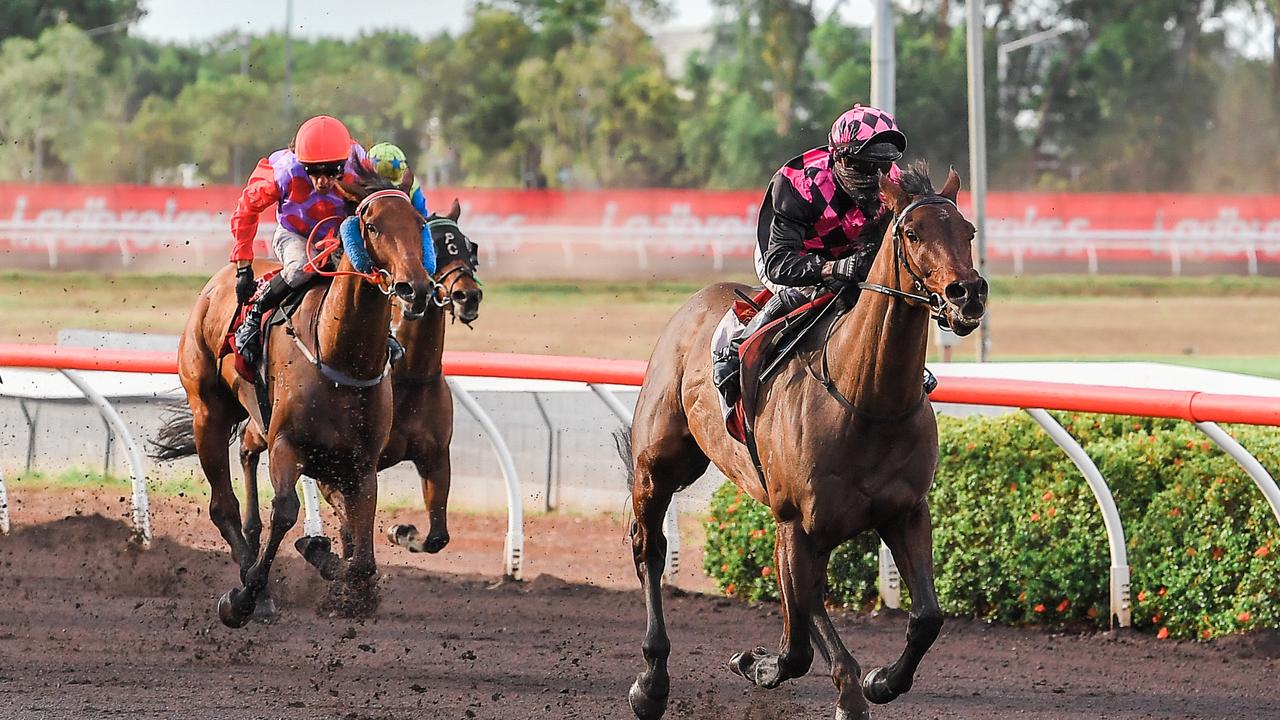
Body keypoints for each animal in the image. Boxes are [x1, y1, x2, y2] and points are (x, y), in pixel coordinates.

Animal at [153, 166, 435, 622]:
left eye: (419, 223)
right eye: (372, 226)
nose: (416, 289)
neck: (342, 356)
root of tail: (213, 285)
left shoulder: (361, 463)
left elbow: (362, 560)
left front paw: (332, 567)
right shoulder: (287, 443)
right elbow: (284, 512)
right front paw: (243, 597)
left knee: (247, 454)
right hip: (207, 413)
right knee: (223, 505)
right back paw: (254, 590)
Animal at [624, 163, 983, 717]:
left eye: (968, 231)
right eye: (911, 232)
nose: (968, 293)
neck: (866, 399)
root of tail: (695, 304)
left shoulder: (904, 511)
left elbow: (925, 618)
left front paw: (881, 681)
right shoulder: (797, 522)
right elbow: (803, 638)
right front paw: (825, 685)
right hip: (659, 465)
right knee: (650, 548)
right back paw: (651, 681)